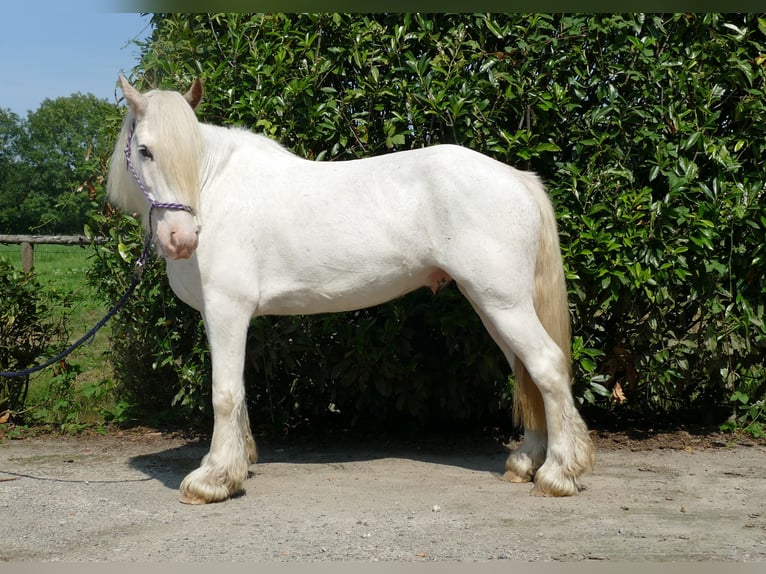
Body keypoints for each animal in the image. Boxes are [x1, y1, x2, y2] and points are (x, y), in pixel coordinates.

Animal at [108, 75, 596, 504]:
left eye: (186, 151)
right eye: (145, 150)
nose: (181, 238)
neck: (215, 190)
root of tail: (518, 178)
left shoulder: (227, 310)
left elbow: (224, 394)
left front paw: (212, 480)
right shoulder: (228, 317)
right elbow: (239, 391)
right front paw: (238, 463)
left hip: (503, 303)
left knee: (547, 366)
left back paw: (558, 473)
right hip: (495, 305)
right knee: (527, 372)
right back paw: (526, 462)